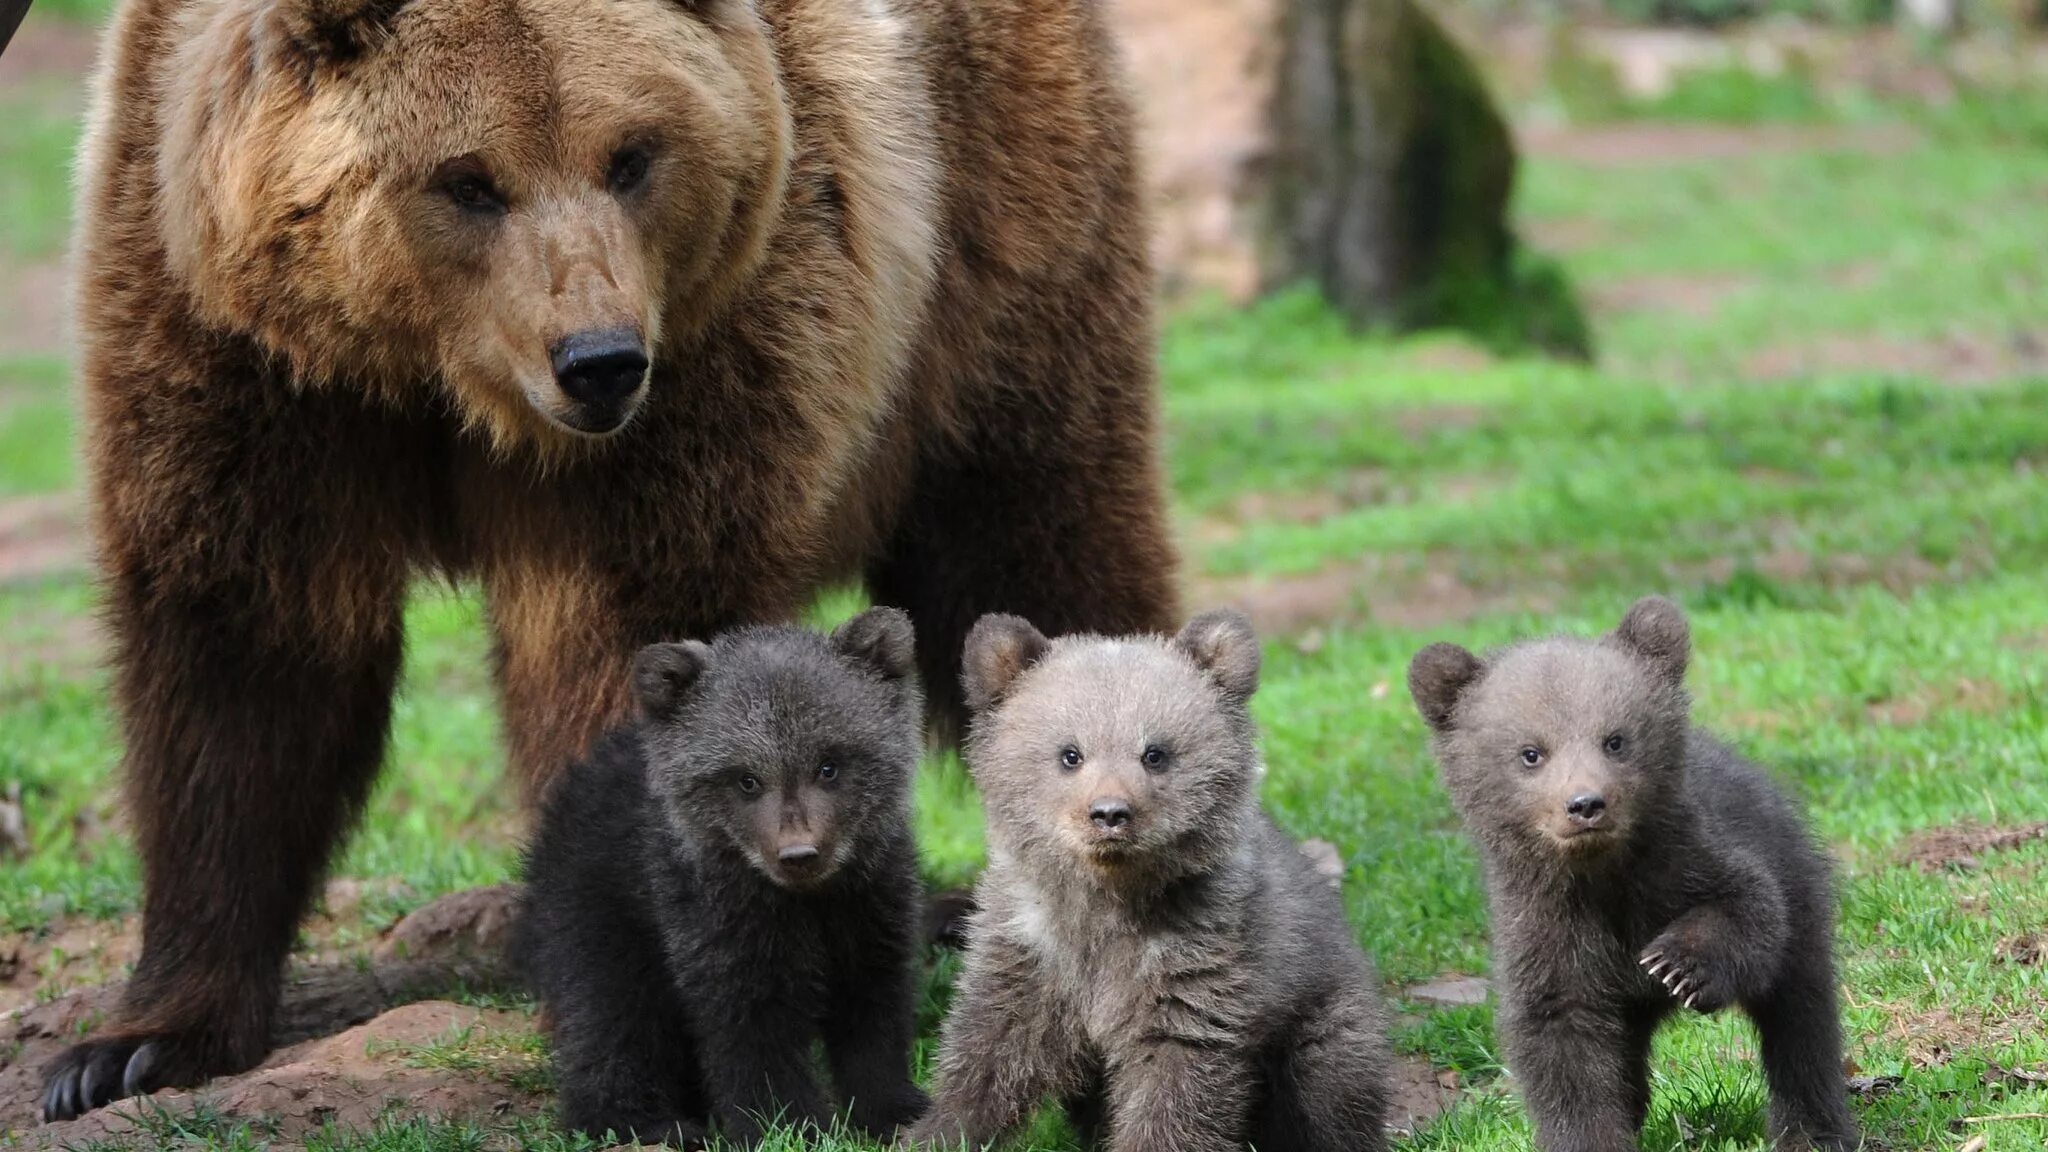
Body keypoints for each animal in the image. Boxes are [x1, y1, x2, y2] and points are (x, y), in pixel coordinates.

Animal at [39, 0, 1179, 1123]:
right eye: (468, 179)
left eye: (631, 156)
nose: (598, 361)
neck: (437, 379)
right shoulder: (244, 361)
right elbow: (244, 659)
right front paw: (132, 1045)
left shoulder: (702, 361)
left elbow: (622, 640)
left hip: (990, 238)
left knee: (1034, 535)